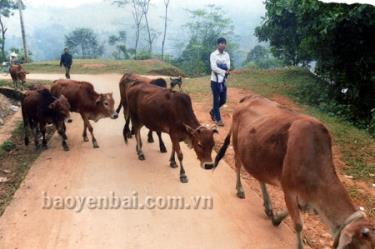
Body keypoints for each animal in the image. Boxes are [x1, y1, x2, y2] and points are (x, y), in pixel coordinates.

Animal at [214, 94, 375, 249]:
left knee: (260, 177)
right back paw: (240, 189)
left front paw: (276, 219)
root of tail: (250, 97)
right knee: (238, 165)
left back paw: (268, 206)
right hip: (237, 143)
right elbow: (298, 224)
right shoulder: (289, 189)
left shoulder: (306, 198)